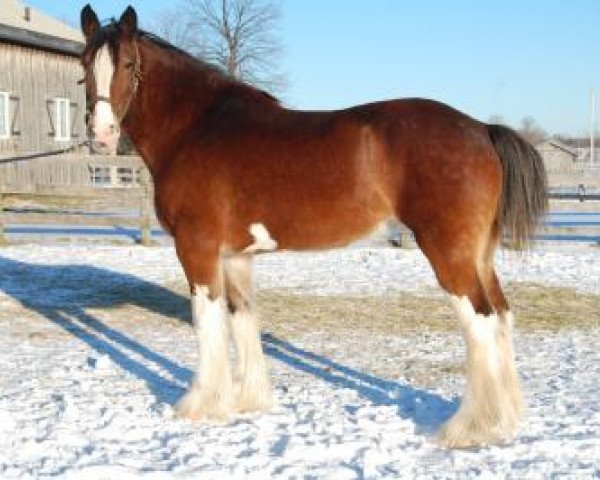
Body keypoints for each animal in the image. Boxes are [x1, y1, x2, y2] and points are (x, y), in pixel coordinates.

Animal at [81, 3, 548, 448]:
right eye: (85, 64)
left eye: (128, 65)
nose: (101, 136)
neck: (197, 128)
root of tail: (482, 129)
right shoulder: (234, 257)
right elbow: (242, 317)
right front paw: (249, 400)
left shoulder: (197, 249)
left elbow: (207, 322)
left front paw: (200, 404)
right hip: (479, 254)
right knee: (502, 316)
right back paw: (506, 419)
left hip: (448, 252)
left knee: (481, 322)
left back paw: (469, 429)